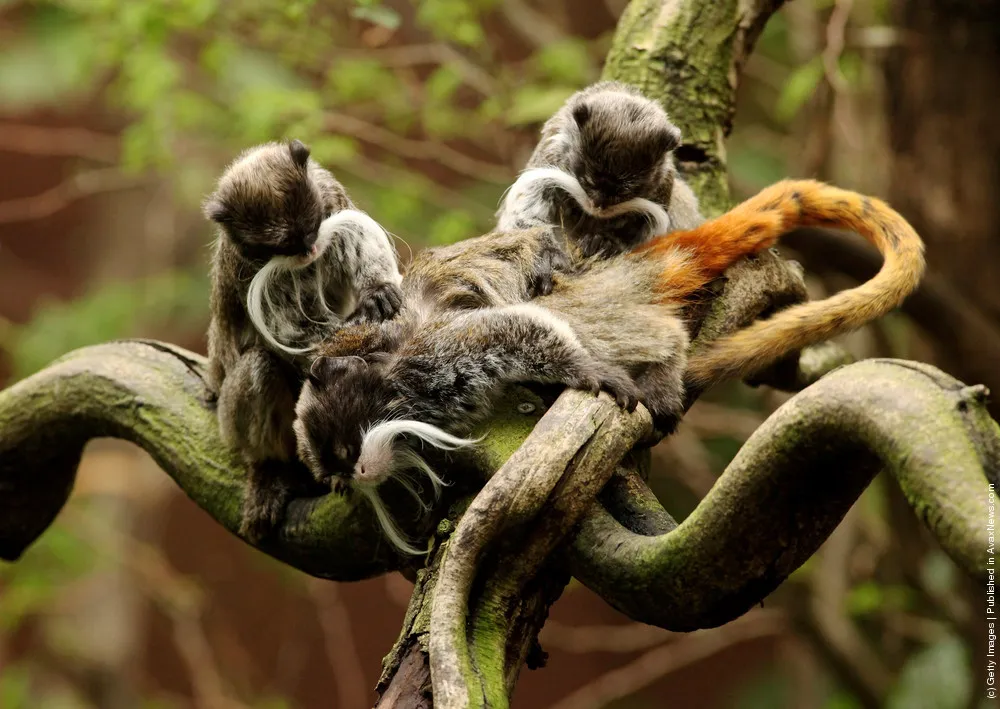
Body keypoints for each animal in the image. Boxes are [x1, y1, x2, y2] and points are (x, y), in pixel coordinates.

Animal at [203, 139, 404, 542]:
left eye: (311, 229)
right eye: (284, 244)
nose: (309, 249)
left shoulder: (329, 194)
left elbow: (352, 238)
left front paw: (377, 293)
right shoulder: (244, 269)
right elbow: (288, 339)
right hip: (229, 423)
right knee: (259, 365)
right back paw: (271, 470)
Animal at [293, 179, 925, 555]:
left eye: (348, 453)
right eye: (340, 475)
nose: (360, 474)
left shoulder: (427, 354)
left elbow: (515, 329)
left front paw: (595, 376)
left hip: (599, 292)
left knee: (619, 319)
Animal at [495, 80, 704, 260]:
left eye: (624, 192)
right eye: (588, 181)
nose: (598, 204)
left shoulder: (664, 183)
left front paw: (606, 241)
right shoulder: (550, 153)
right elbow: (526, 213)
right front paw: (547, 252)